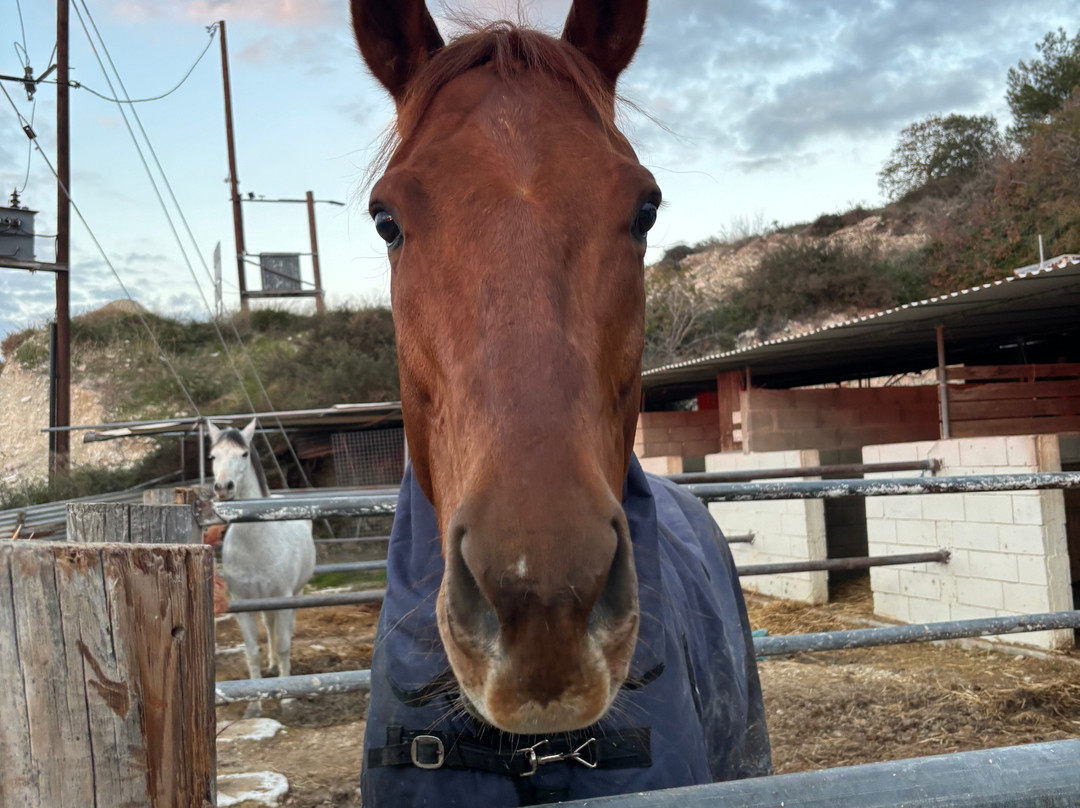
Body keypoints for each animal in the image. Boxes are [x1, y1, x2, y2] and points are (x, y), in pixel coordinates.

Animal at [208, 419, 316, 717]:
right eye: (213, 456)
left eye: (244, 454)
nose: (223, 487)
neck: (256, 541)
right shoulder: (243, 605)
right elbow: (252, 651)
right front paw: (254, 705)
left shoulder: (283, 598)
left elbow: (284, 645)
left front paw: (287, 700)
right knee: (269, 627)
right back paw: (271, 665)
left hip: (295, 595)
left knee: (284, 630)